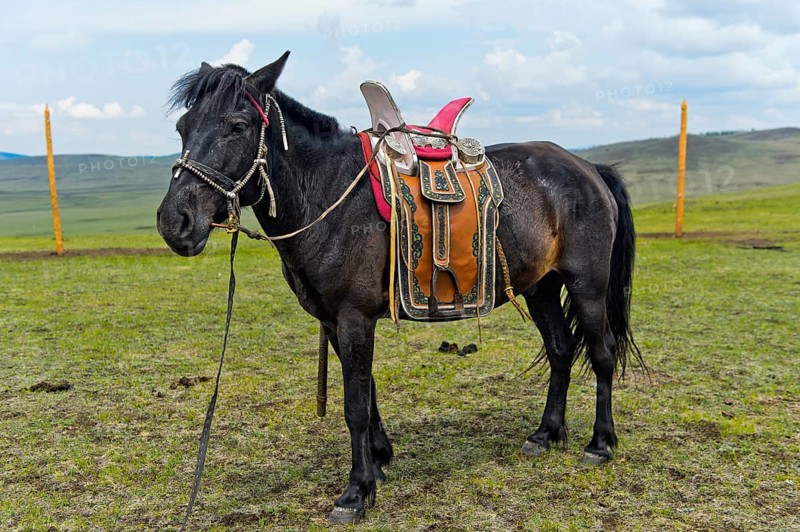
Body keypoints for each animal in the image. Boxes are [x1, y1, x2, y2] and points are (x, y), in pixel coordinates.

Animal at [156, 51, 642, 524]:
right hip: (539, 287)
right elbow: (366, 394)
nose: (174, 222)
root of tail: (587, 167)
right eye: (182, 127)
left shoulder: (353, 317)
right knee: (561, 349)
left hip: (586, 284)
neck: (327, 194)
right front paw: (378, 460)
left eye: (237, 126)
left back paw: (600, 443)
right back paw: (545, 434)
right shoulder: (334, 322)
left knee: (600, 352)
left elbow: (354, 405)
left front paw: (356, 492)